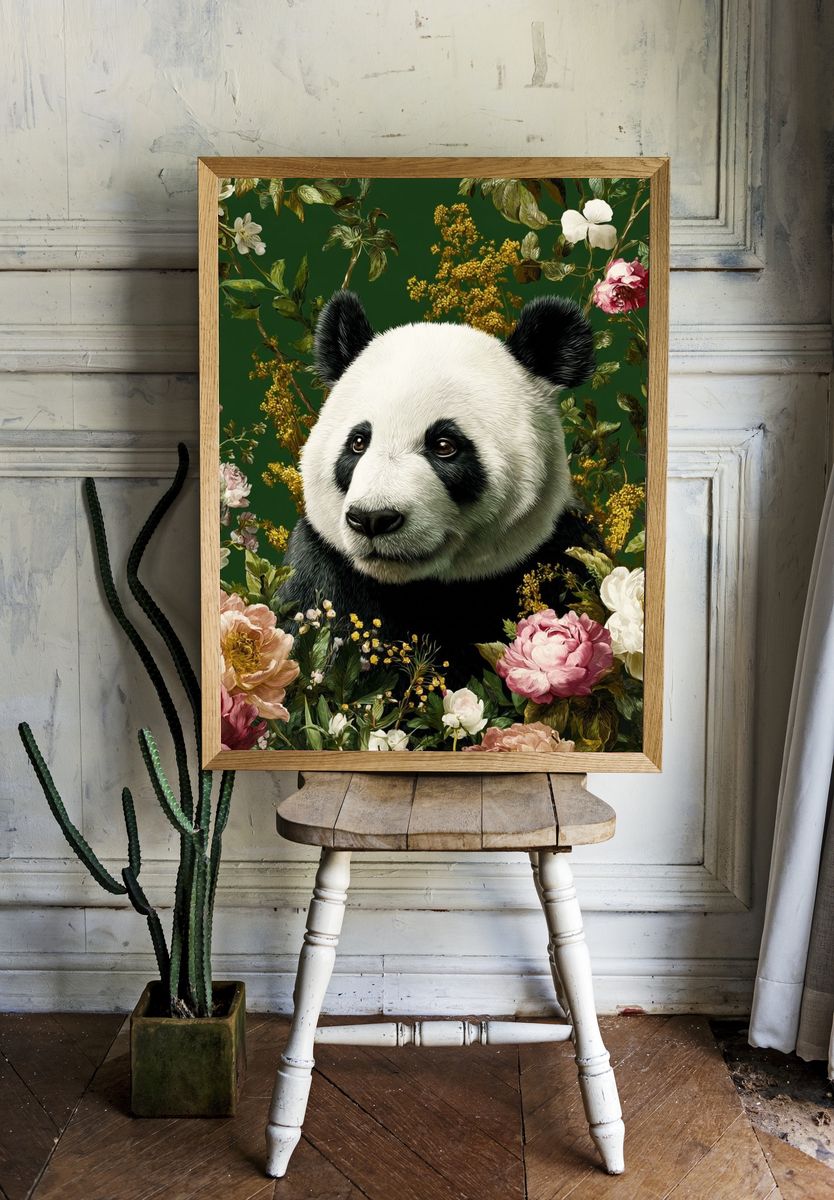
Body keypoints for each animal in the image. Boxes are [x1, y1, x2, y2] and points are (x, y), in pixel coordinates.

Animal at [279, 289, 598, 682]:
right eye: (358, 442)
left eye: (445, 445)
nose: (372, 519)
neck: (422, 590)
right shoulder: (322, 576)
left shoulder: (559, 561)